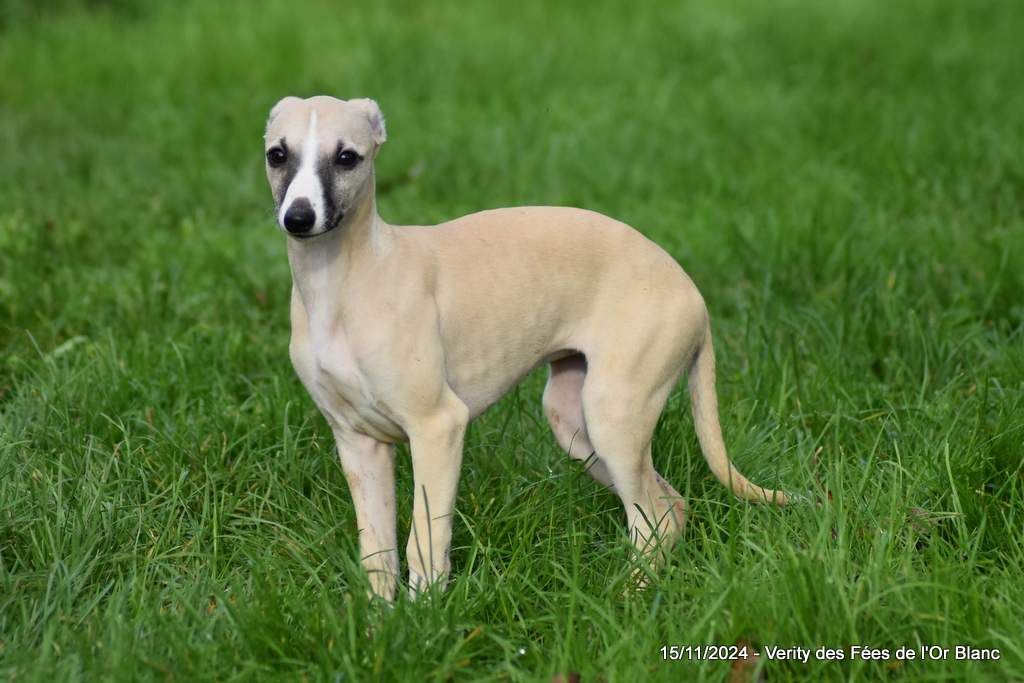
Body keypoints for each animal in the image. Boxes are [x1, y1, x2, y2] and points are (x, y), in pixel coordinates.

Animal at [262, 94, 782, 598]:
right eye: (277, 154)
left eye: (347, 157)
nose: (299, 218)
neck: (347, 279)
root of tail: (693, 293)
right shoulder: (358, 442)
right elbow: (378, 555)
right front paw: (381, 625)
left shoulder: (438, 427)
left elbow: (425, 543)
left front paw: (426, 618)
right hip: (575, 423)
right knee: (671, 508)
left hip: (614, 417)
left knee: (651, 519)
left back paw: (627, 599)